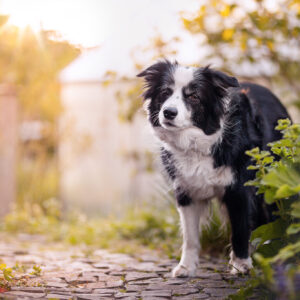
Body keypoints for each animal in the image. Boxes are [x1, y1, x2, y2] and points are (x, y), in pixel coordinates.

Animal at [137, 60, 290, 276]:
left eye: (193, 96)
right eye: (165, 92)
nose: (168, 112)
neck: (198, 142)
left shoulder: (239, 189)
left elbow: (240, 231)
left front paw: (241, 265)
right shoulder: (186, 191)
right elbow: (190, 236)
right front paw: (186, 267)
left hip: (270, 181)